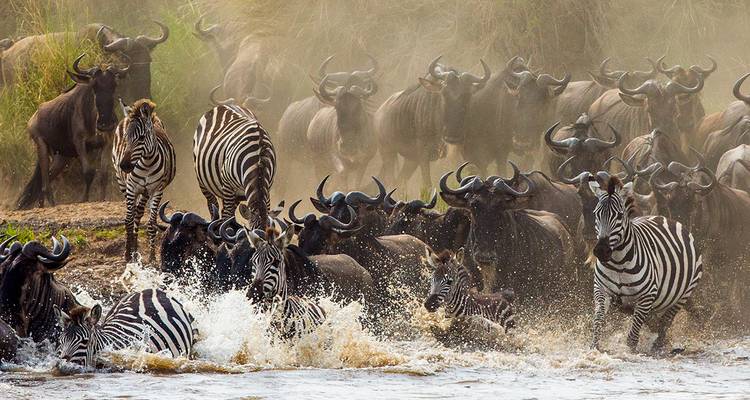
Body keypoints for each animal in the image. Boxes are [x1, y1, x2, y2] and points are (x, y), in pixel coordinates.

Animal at [112, 99, 176, 262]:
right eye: (125, 138)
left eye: (141, 138)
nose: (124, 166)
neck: (146, 162)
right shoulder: (131, 188)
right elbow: (128, 220)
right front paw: (127, 254)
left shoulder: (157, 190)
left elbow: (152, 223)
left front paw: (152, 256)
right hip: (122, 184)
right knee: (132, 215)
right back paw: (132, 250)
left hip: (145, 191)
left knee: (138, 214)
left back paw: (136, 249)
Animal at [589, 173, 703, 352]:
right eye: (596, 214)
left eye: (619, 216)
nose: (601, 251)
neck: (618, 263)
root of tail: (664, 217)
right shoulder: (601, 290)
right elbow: (598, 320)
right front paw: (594, 347)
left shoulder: (647, 296)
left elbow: (633, 333)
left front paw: (630, 352)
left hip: (683, 294)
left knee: (665, 322)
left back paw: (658, 346)